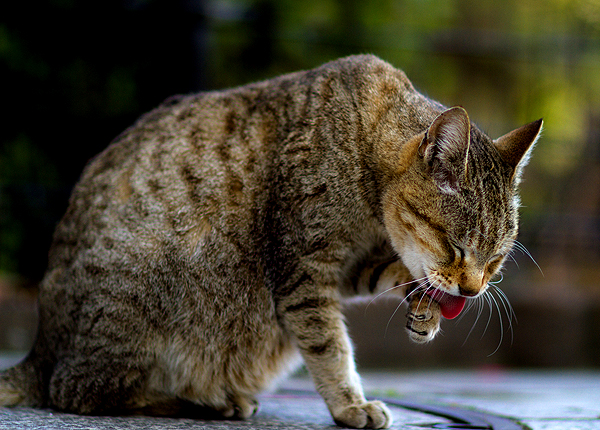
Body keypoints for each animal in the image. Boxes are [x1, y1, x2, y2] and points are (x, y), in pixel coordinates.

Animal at [0, 55, 540, 428]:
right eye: (455, 247)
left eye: (495, 261)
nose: (472, 291)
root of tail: (39, 352)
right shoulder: (303, 270)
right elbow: (330, 347)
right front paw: (351, 404)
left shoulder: (344, 267)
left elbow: (390, 272)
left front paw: (423, 307)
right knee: (79, 392)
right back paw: (210, 402)